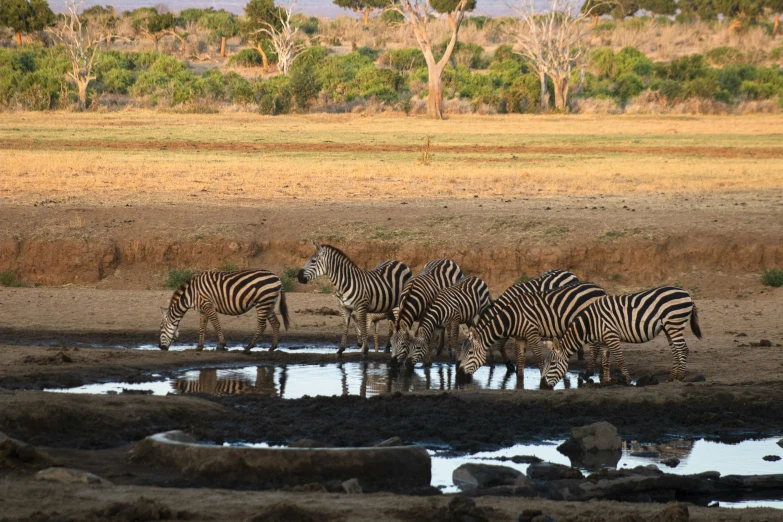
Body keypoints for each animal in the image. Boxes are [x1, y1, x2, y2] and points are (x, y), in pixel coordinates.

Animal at [159, 268, 290, 350]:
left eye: (160, 327)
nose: (160, 347)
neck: (192, 294)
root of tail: (277, 277)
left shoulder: (208, 305)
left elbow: (216, 324)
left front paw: (222, 344)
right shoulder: (203, 309)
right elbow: (202, 327)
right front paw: (199, 346)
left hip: (263, 303)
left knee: (262, 325)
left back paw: (248, 347)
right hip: (269, 303)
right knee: (276, 323)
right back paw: (272, 347)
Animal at [460, 280, 608, 378]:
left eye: (470, 353)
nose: (460, 374)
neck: (513, 317)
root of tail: (598, 287)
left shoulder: (532, 332)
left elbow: (537, 355)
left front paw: (542, 373)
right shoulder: (520, 337)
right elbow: (520, 357)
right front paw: (519, 377)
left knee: (594, 346)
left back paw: (589, 372)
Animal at [540, 286, 704, 388]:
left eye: (552, 364)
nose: (542, 386)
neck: (592, 322)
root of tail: (686, 293)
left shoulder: (612, 336)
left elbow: (619, 359)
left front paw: (627, 380)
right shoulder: (604, 341)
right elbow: (605, 362)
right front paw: (606, 382)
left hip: (674, 324)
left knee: (683, 349)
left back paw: (680, 377)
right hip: (669, 327)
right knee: (676, 350)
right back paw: (672, 377)